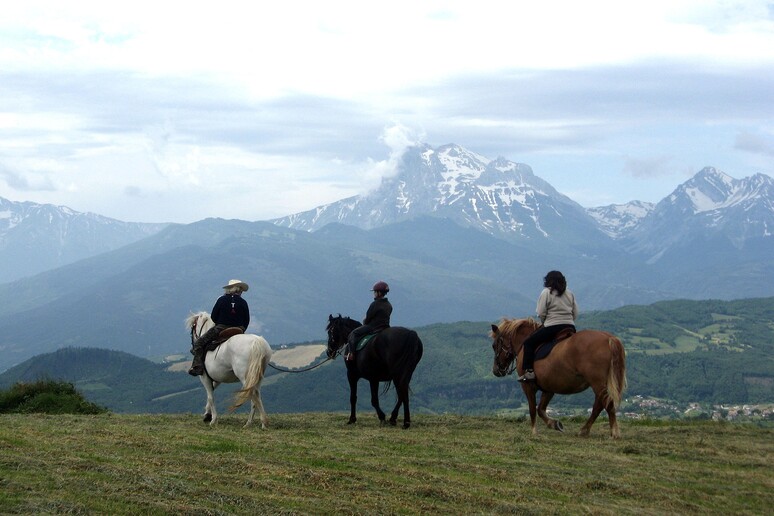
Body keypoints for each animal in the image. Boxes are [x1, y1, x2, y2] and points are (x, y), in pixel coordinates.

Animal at [492, 318, 632, 440]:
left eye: (494, 345)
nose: (496, 370)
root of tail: (609, 338)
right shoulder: (549, 388)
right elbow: (540, 409)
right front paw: (554, 424)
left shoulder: (527, 386)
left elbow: (532, 409)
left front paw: (534, 431)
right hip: (600, 383)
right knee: (598, 405)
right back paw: (584, 430)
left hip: (597, 382)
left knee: (606, 403)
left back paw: (614, 432)